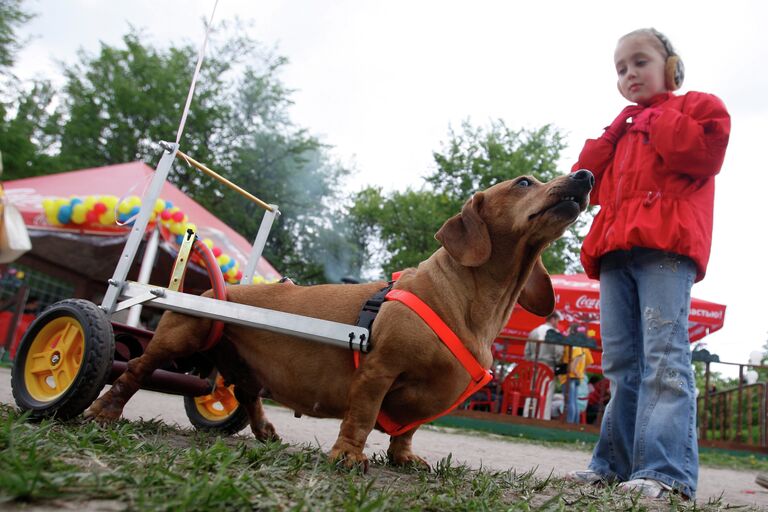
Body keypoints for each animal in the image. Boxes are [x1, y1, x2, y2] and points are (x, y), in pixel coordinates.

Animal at [88, 170, 592, 470]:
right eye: (524, 182)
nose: (586, 175)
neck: (468, 301)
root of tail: (217, 291)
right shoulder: (378, 371)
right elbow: (362, 418)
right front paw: (348, 457)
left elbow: (408, 429)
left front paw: (404, 458)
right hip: (176, 339)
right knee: (133, 372)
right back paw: (102, 411)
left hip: (243, 365)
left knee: (246, 396)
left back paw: (265, 431)